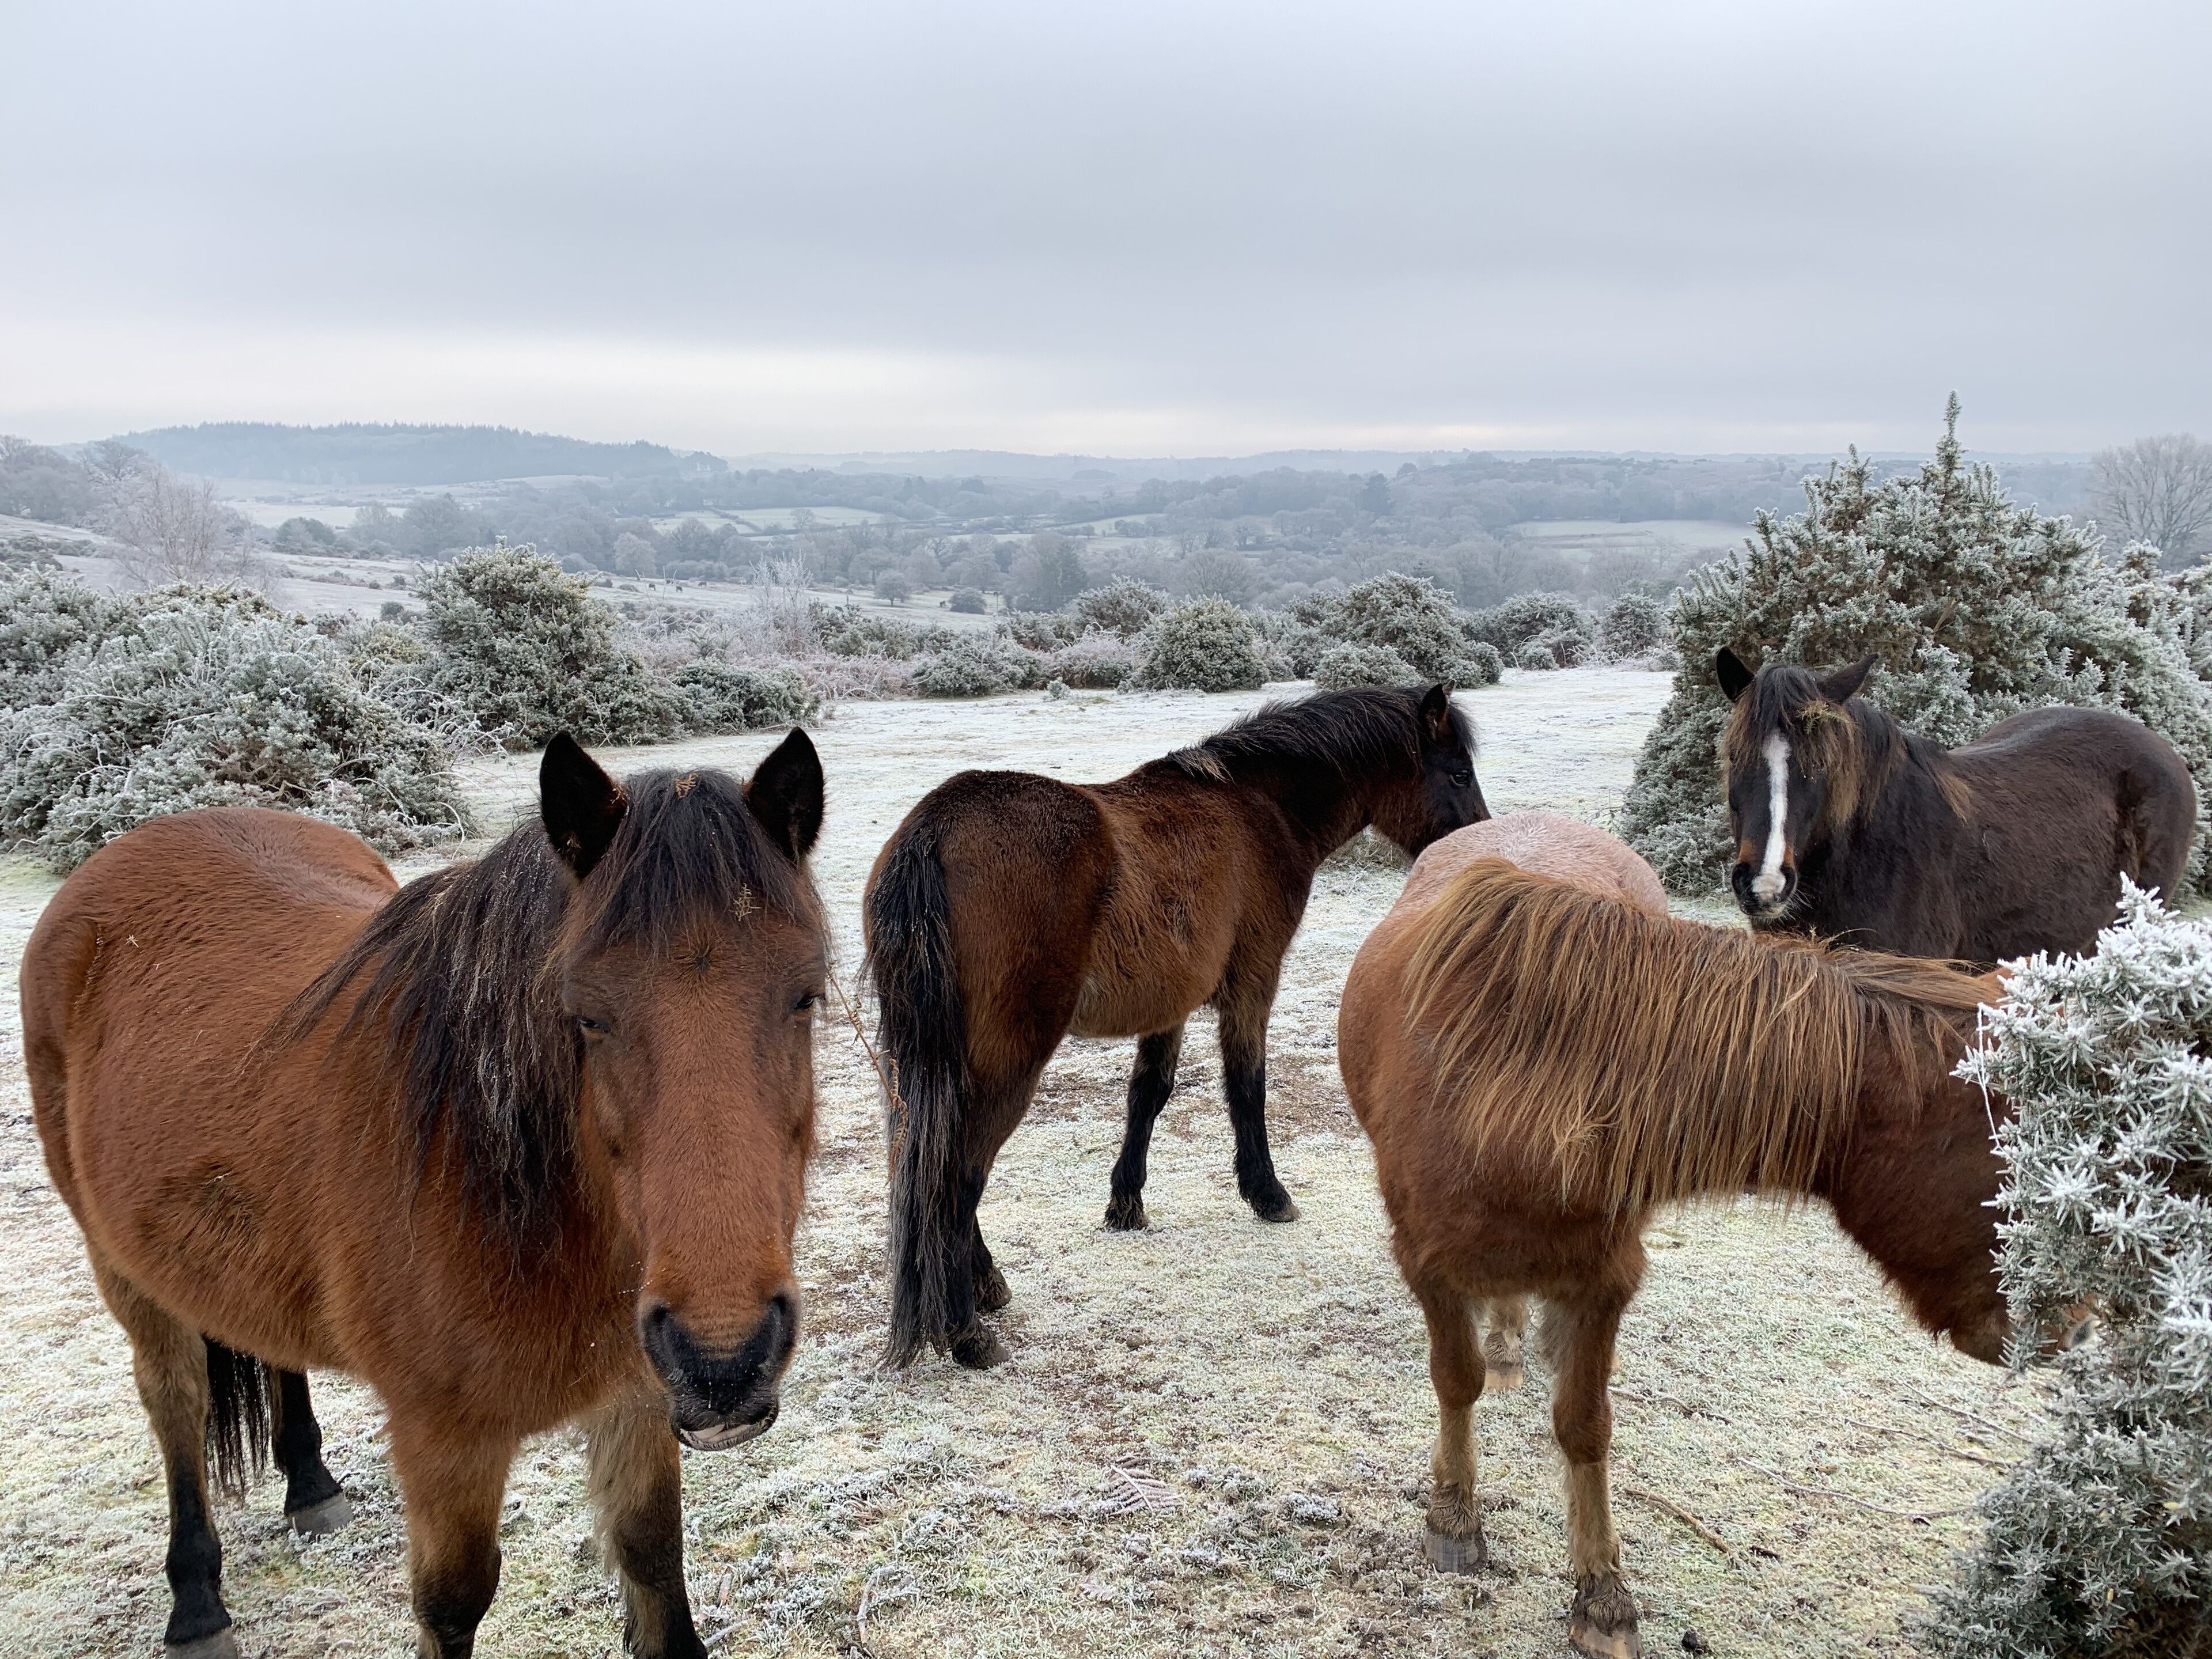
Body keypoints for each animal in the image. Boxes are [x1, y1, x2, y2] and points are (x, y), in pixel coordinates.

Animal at [23, 731, 828, 1659]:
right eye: (587, 1017)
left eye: (805, 997)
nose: (724, 1360)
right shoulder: (443, 1440)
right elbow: (452, 1604)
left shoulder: (635, 1397)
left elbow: (652, 1555)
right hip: (121, 1265)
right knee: (175, 1399)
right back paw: (195, 1600)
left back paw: (310, 1485)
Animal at [866, 683, 1488, 1369]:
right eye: (1458, 774)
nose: (1478, 853)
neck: (1257, 806)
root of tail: (936, 829)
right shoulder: (1252, 984)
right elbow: (1247, 1087)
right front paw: (1267, 1193)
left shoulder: (1169, 1004)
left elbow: (1148, 1096)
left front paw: (1126, 1203)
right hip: (1008, 1060)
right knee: (957, 1176)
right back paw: (966, 1332)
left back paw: (986, 1286)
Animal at [1339, 825, 2020, 1659]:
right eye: (2007, 1158)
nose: (2057, 1329)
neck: (1509, 1093)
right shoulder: (1427, 1264)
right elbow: (1454, 1382)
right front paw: (1455, 1518)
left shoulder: (1602, 1280)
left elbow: (1584, 1426)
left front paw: (1602, 1595)